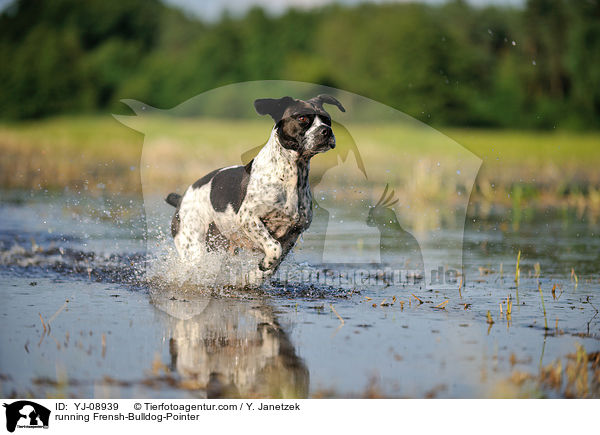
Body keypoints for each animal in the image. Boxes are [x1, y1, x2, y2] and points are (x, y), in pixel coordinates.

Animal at [164, 94, 344, 286]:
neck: (291, 176)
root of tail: (181, 200)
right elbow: (274, 249)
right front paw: (263, 265)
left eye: (327, 119)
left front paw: (252, 277)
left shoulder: (294, 232)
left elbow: (274, 265)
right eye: (302, 118)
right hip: (193, 247)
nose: (326, 131)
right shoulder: (248, 218)